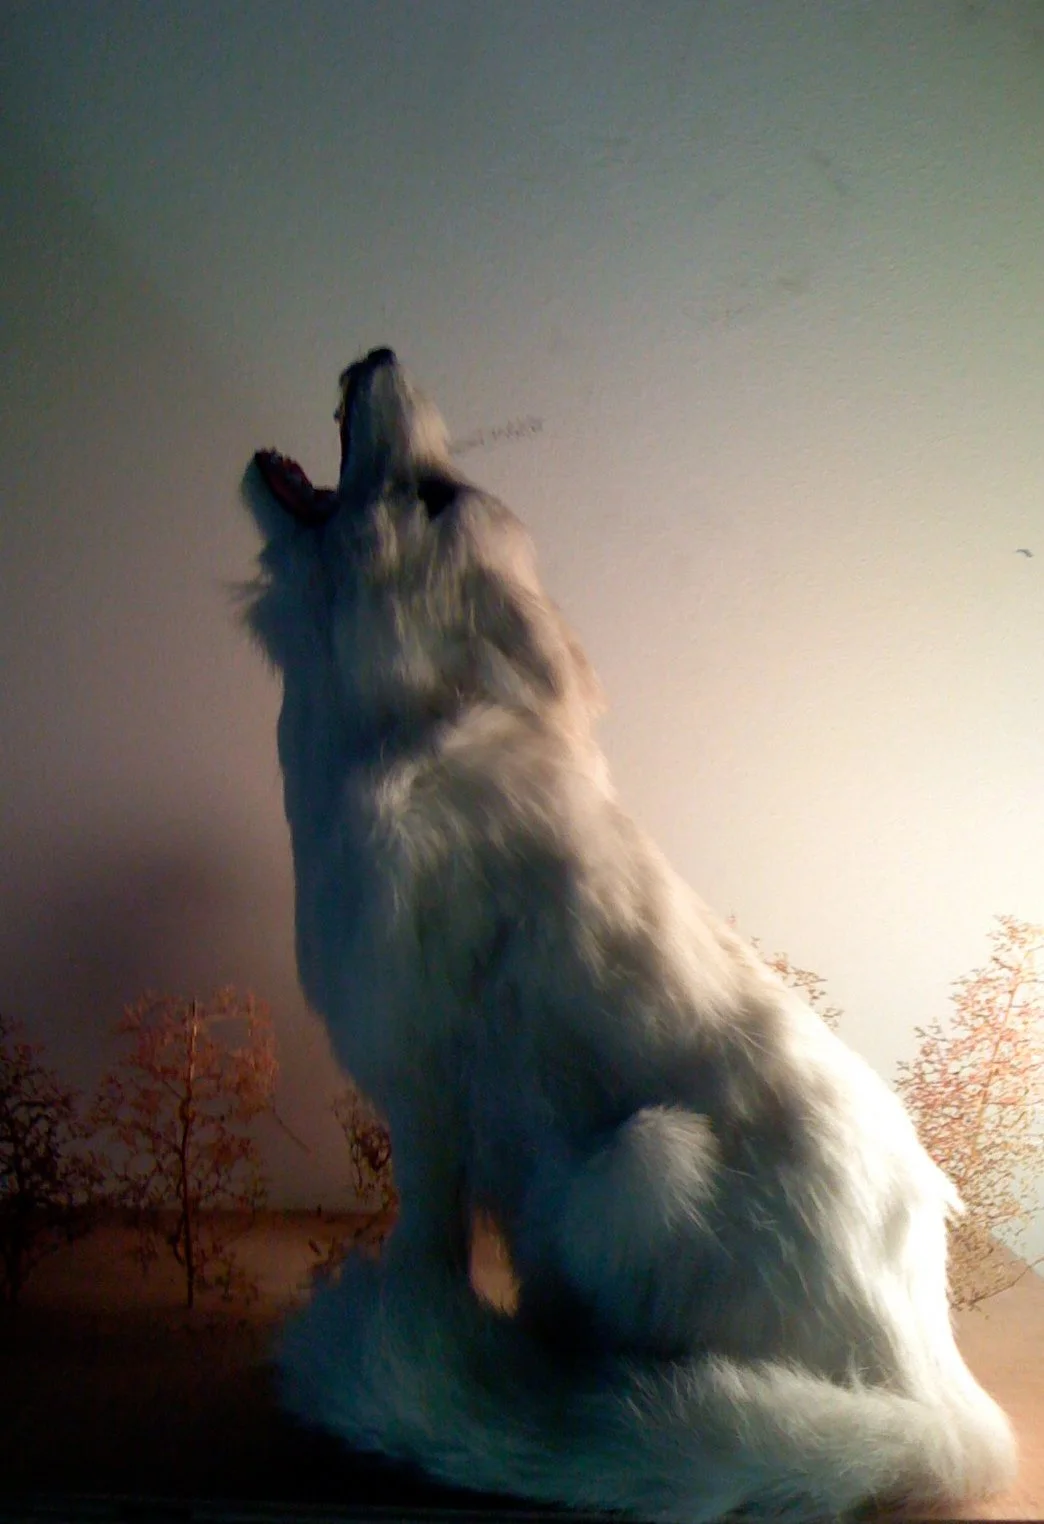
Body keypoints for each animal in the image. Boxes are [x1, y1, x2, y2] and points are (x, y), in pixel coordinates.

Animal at [241, 348, 1016, 1520]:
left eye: (435, 495)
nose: (379, 355)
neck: (382, 734)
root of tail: (940, 1405)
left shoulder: (422, 1096)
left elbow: (423, 1248)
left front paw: (414, 1331)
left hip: (634, 1169)